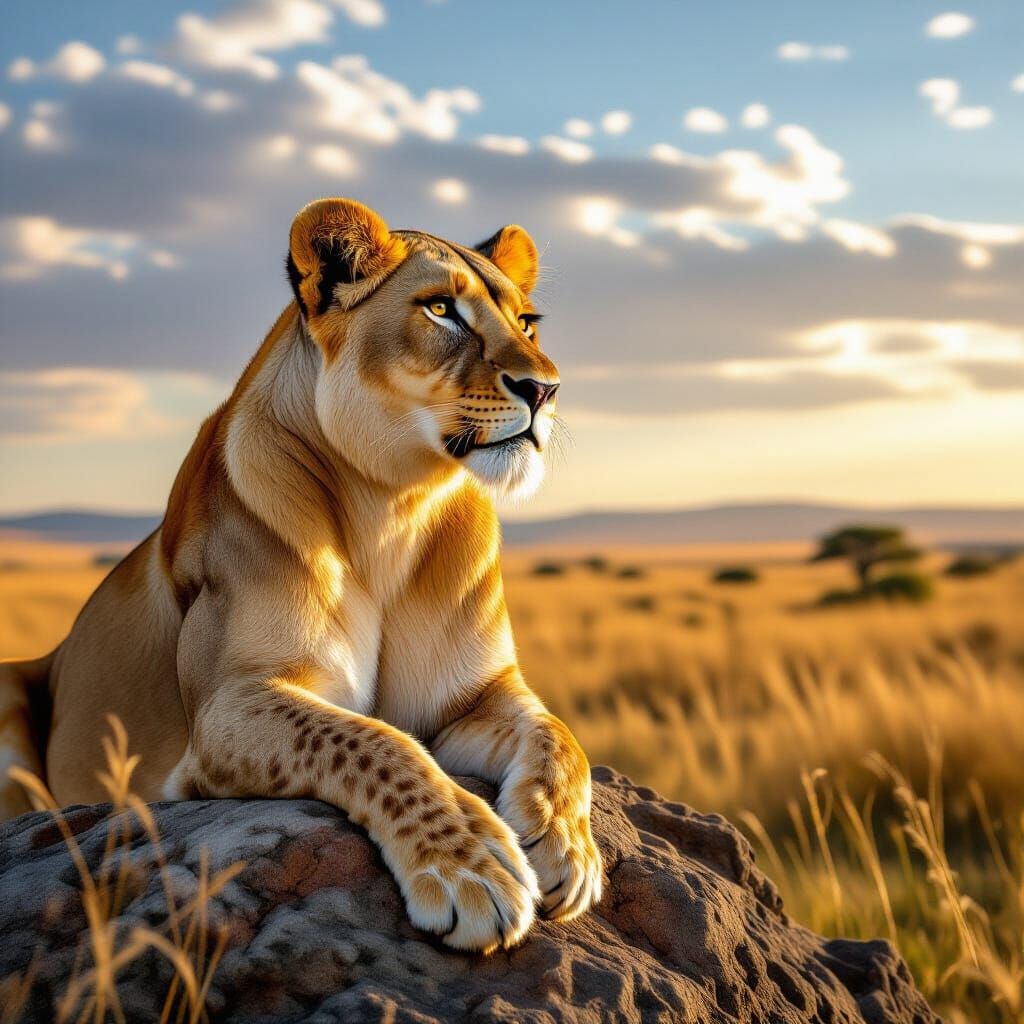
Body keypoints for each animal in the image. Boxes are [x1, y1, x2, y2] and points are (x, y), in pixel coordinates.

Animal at [0, 198, 602, 953]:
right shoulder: (224, 711)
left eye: (526, 321)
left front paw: (567, 845)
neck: (393, 507)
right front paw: (471, 868)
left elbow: (559, 735)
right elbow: (375, 741)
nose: (545, 389)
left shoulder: (472, 698)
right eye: (440, 309)